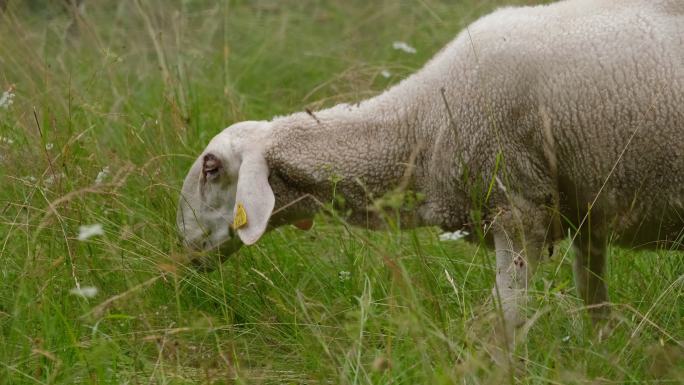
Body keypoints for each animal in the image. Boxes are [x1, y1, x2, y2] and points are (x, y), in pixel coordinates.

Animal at [178, 0, 684, 342]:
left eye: (211, 167)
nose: (184, 246)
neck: (417, 124)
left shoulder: (518, 209)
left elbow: (504, 318)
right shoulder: (587, 209)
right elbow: (593, 298)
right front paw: (605, 350)